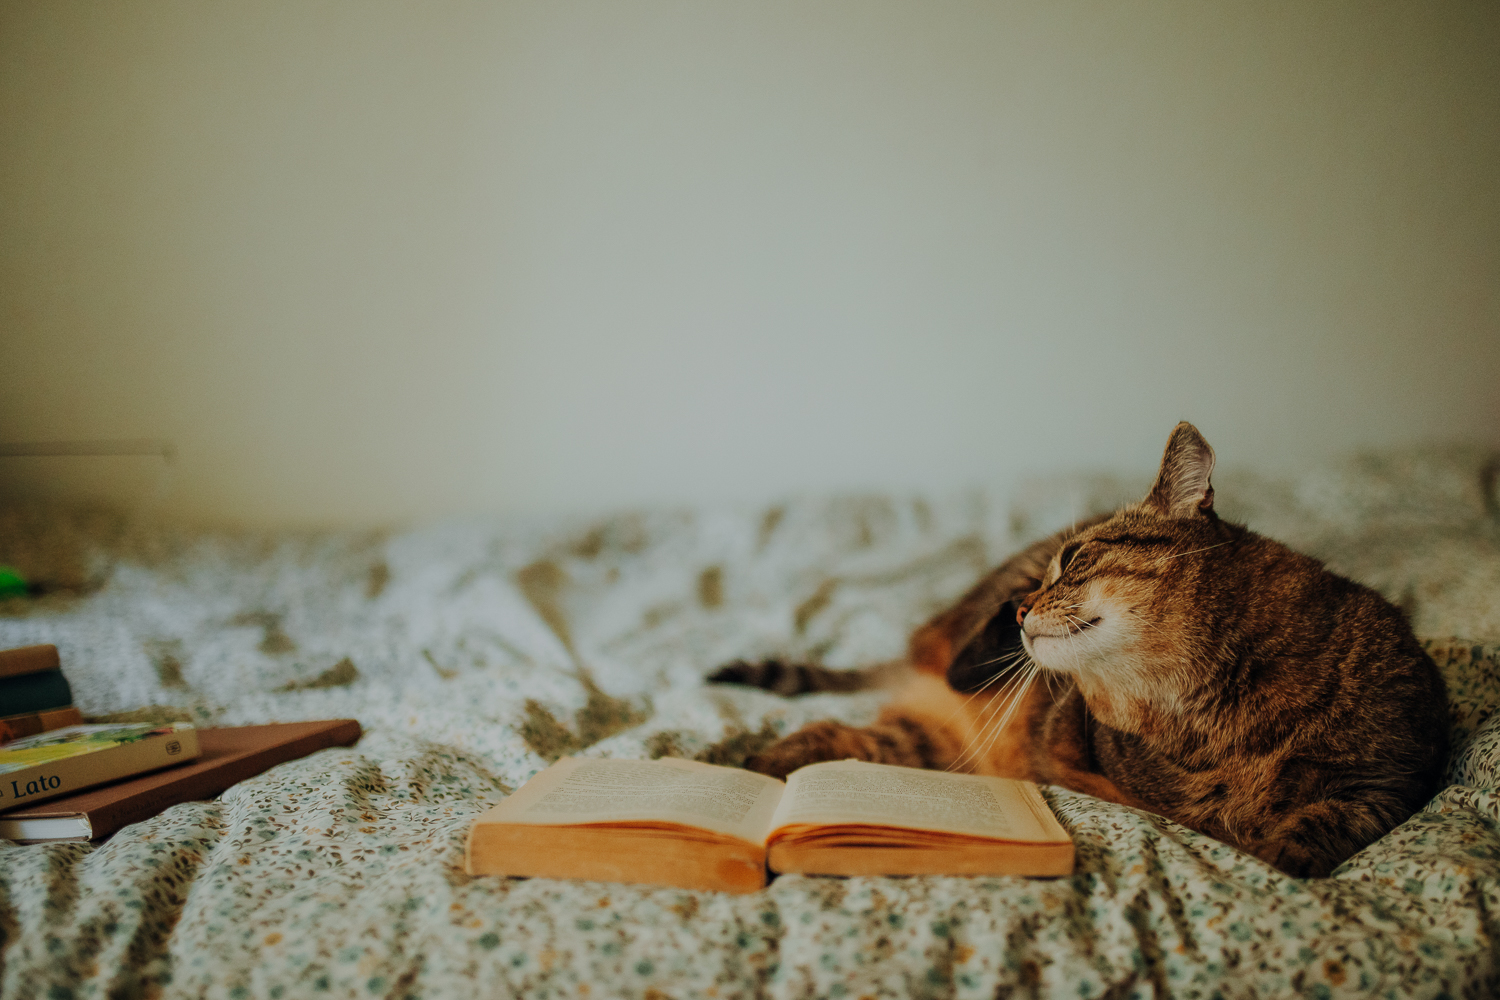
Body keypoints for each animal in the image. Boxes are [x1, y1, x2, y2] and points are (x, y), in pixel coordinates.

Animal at [712, 422, 1449, 878]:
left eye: (1073, 560)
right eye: (1054, 565)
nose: (1023, 607)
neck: (1212, 718)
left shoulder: (1389, 781)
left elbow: (1308, 833)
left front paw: (1271, 852)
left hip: (926, 745)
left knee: (837, 735)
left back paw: (762, 768)